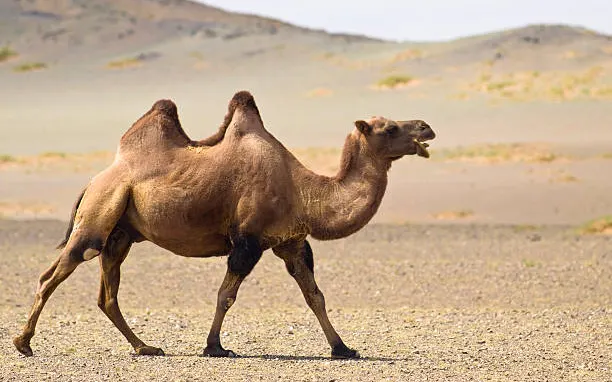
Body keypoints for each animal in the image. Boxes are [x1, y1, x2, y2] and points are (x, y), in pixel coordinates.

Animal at [14, 91, 436, 360]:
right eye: (389, 128)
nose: (426, 127)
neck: (303, 190)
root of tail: (95, 179)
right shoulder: (247, 240)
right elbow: (226, 295)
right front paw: (215, 346)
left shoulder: (291, 243)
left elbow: (315, 295)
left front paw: (343, 348)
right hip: (98, 215)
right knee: (55, 272)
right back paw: (24, 343)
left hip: (121, 234)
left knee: (107, 293)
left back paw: (145, 347)